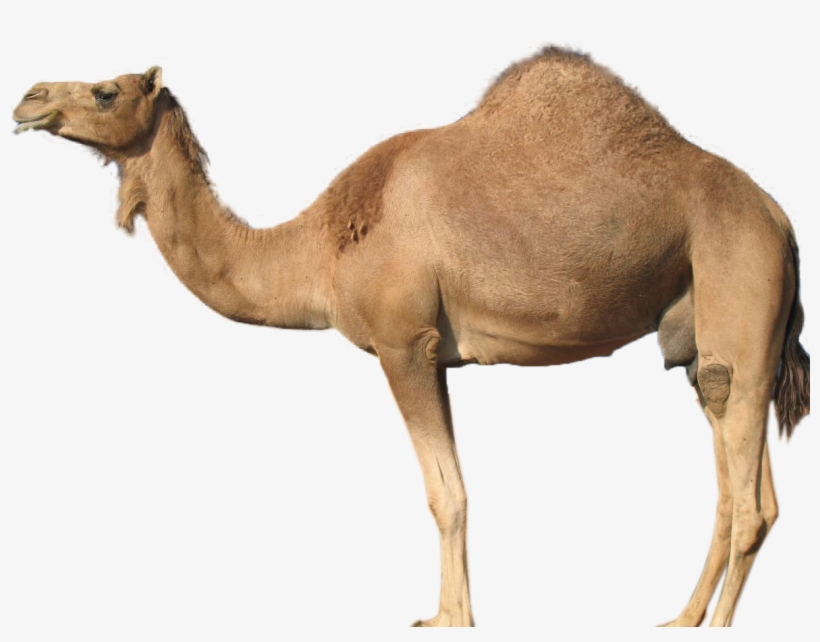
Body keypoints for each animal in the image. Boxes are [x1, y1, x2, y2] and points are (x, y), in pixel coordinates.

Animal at [12, 47, 810, 628]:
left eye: (106, 91)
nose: (28, 99)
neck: (316, 247)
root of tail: (782, 221)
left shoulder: (404, 344)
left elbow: (444, 493)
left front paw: (452, 619)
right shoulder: (439, 355)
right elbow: (451, 486)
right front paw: (446, 613)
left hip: (740, 278)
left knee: (747, 495)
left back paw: (712, 625)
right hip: (706, 335)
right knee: (735, 466)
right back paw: (679, 619)